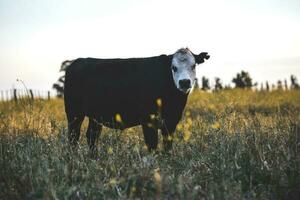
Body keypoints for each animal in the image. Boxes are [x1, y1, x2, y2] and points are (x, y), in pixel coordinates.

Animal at [63, 48, 209, 153]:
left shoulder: (171, 121)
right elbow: (152, 144)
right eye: (174, 67)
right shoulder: (148, 120)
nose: (184, 82)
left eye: (193, 65)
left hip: (95, 116)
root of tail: (76, 62)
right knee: (73, 136)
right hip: (74, 113)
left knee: (92, 136)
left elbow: (167, 145)